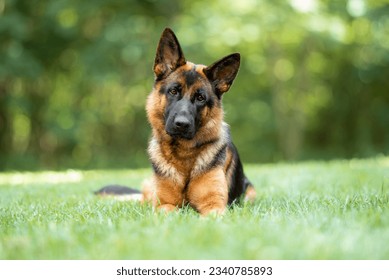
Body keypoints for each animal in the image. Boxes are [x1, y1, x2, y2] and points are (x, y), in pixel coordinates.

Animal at [95, 28, 255, 215]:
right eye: (173, 91)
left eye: (200, 98)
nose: (182, 124)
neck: (183, 155)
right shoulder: (163, 204)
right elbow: (172, 210)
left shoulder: (215, 204)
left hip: (250, 193)